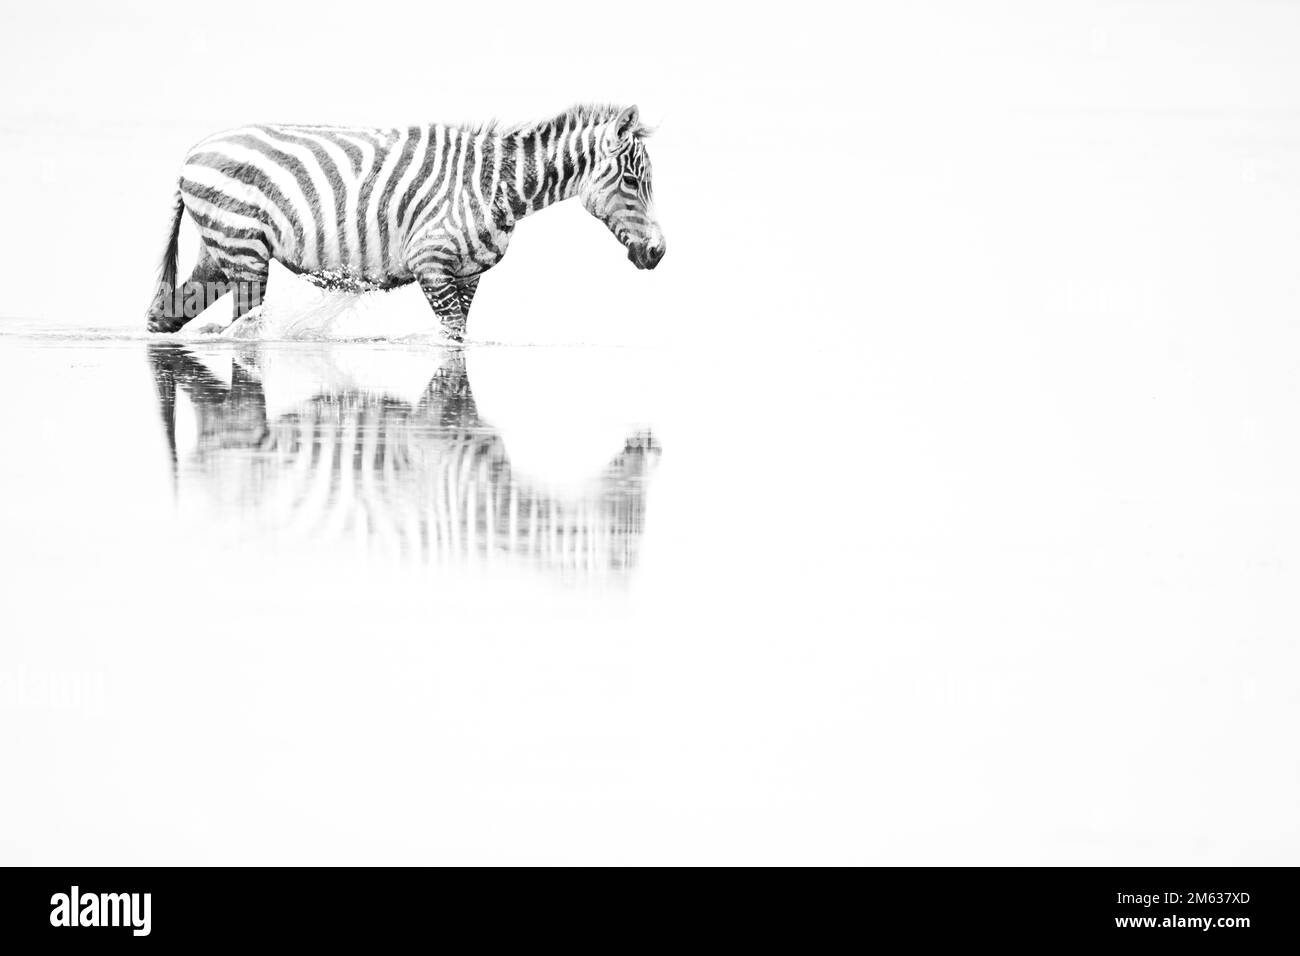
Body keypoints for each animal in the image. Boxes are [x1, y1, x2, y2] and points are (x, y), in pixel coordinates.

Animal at [145, 104, 665, 341]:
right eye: (632, 180)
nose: (658, 253)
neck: (498, 187)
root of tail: (191, 156)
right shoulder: (430, 263)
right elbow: (452, 339)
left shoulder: (468, 275)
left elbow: (459, 336)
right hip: (244, 253)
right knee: (243, 329)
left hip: (221, 253)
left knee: (165, 315)